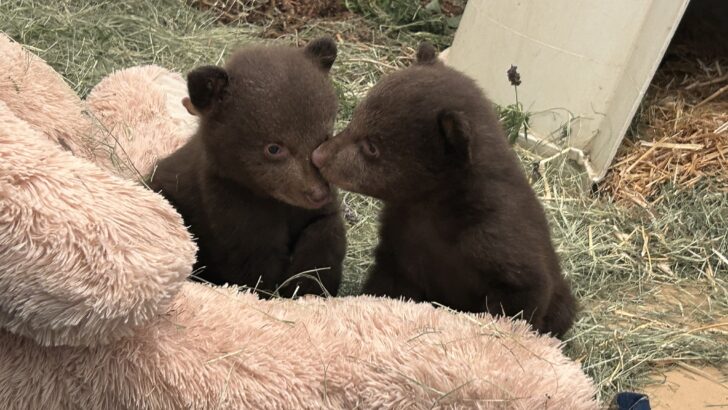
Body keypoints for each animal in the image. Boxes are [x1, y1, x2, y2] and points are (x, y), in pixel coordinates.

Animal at [148, 37, 345, 298]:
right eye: (274, 148)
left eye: (324, 137)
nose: (318, 193)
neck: (274, 202)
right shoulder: (233, 209)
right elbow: (254, 268)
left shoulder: (314, 212)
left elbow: (325, 231)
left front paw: (308, 285)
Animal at [311, 42, 576, 337]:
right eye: (355, 118)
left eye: (372, 147)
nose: (318, 156)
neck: (433, 204)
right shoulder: (401, 241)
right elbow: (388, 282)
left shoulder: (499, 237)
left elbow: (521, 293)